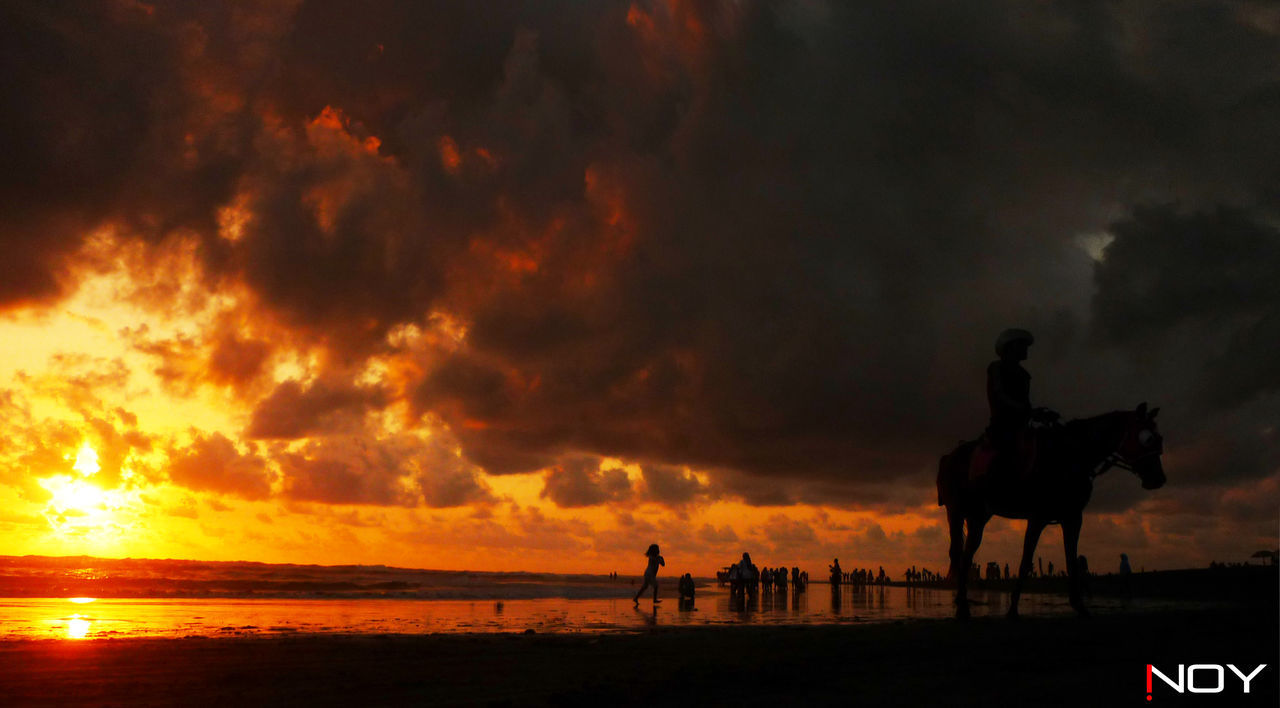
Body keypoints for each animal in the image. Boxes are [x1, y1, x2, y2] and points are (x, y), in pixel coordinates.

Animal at [936, 402, 1167, 619]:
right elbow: (1025, 561)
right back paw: (961, 606)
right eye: (1147, 439)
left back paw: (962, 603)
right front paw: (1012, 609)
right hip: (956, 512)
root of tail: (949, 457)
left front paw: (1080, 606)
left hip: (978, 516)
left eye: (1160, 439)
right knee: (958, 553)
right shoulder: (1037, 518)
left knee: (967, 555)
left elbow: (1071, 560)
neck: (1069, 457)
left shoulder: (1073, 517)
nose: (1158, 479)